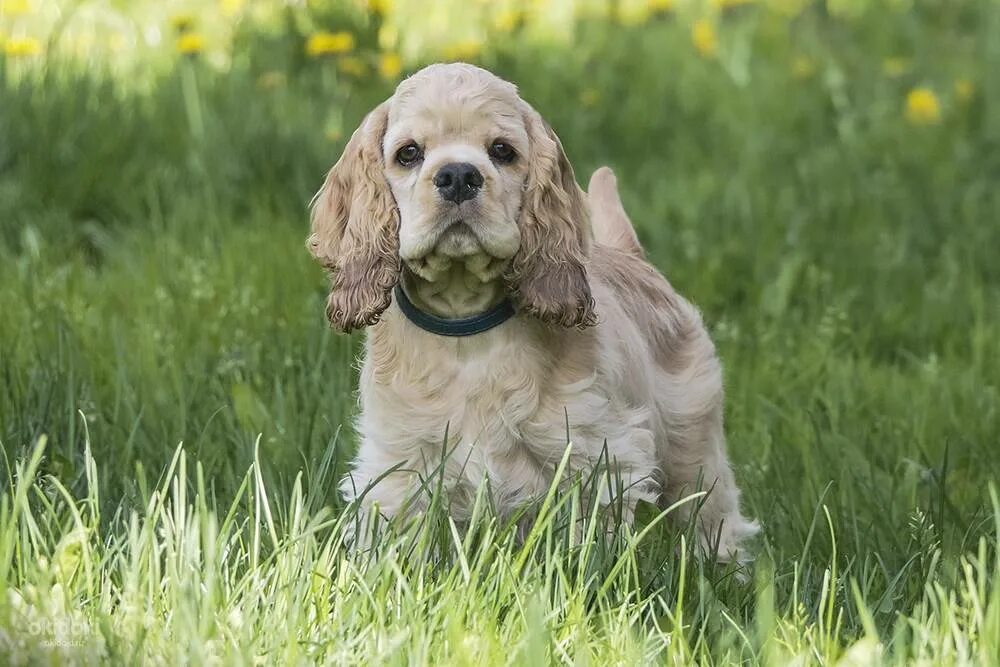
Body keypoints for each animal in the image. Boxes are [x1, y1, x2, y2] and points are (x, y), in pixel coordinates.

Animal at [306, 64, 756, 564]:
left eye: (502, 151)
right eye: (408, 153)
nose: (458, 175)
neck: (466, 328)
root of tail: (632, 257)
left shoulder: (593, 456)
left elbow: (585, 545)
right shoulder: (400, 462)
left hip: (693, 446)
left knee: (712, 515)